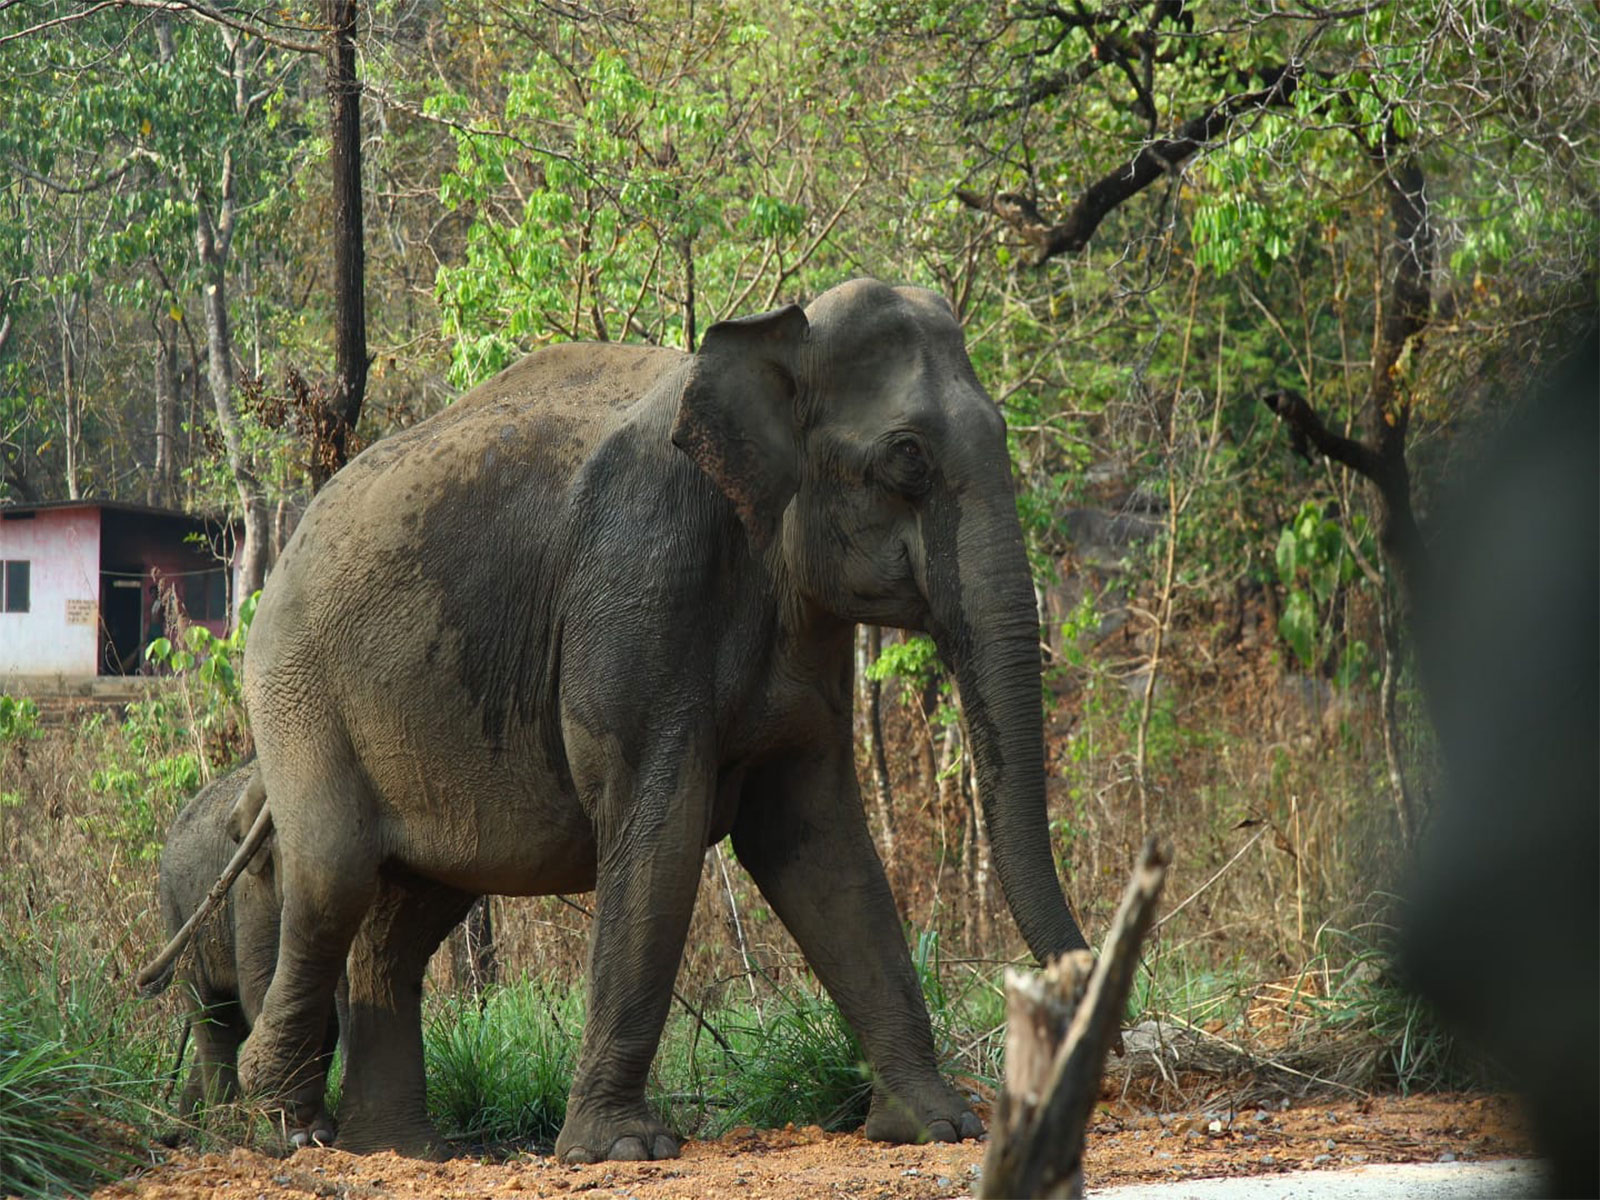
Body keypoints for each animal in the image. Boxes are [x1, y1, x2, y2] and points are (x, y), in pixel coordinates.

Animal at [155, 764, 337, 1142]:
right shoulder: (250, 888)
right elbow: (262, 987)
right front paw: (303, 1134)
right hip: (179, 914)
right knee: (212, 1018)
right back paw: (224, 1128)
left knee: (230, 1022)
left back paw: (190, 1126)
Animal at [232, 276, 1090, 1162]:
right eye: (908, 456)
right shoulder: (640, 572)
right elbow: (660, 824)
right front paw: (621, 1150)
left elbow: (816, 841)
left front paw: (938, 1127)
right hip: (297, 690)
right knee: (335, 872)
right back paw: (289, 1121)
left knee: (408, 916)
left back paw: (402, 1150)